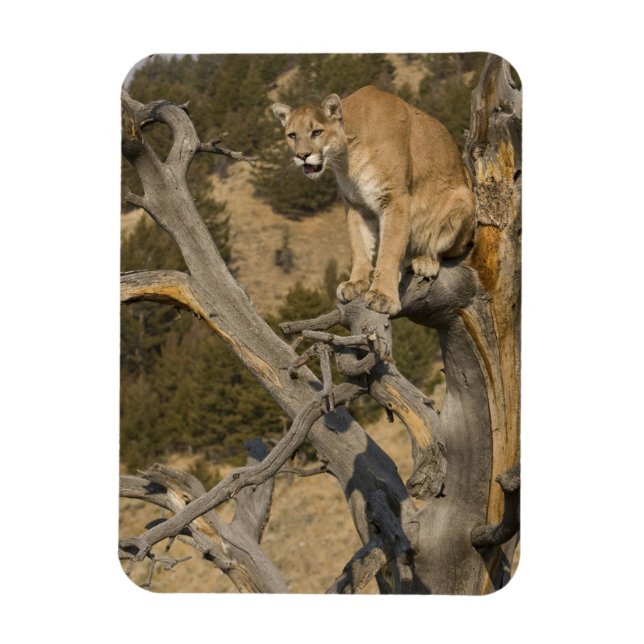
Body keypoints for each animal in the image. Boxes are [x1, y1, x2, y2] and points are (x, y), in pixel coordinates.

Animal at [271, 85, 476, 315]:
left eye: (317, 132)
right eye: (292, 135)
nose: (302, 155)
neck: (347, 156)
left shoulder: (395, 198)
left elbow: (389, 249)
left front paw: (382, 296)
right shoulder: (355, 204)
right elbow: (359, 245)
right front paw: (357, 282)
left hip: (463, 200)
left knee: (448, 249)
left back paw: (426, 260)